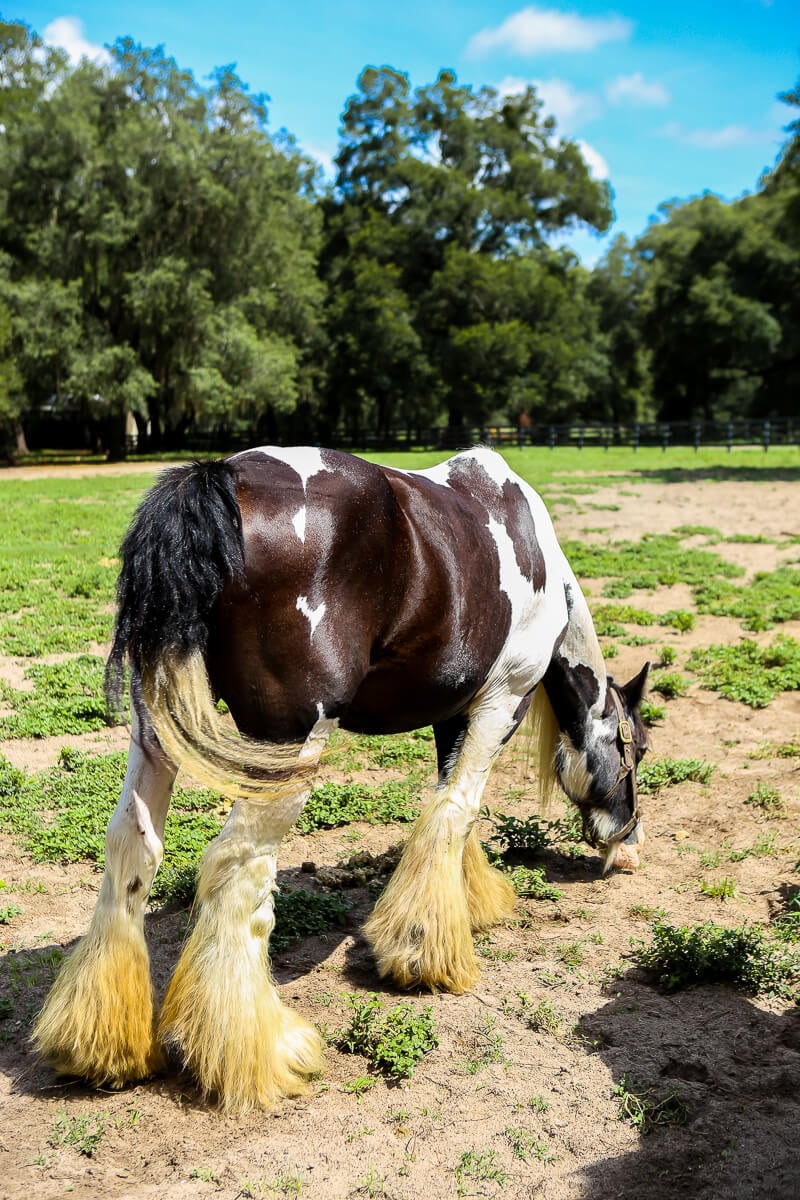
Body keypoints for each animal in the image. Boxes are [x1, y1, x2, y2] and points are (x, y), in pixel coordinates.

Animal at [32, 446, 652, 1108]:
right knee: (237, 868)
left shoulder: (454, 710)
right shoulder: (502, 700)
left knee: (132, 847)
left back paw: (104, 1045)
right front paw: (424, 952)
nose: (629, 842)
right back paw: (259, 1053)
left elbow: (446, 807)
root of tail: (217, 479)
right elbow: (458, 809)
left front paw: (465, 900)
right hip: (288, 748)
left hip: (153, 735)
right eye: (637, 749)